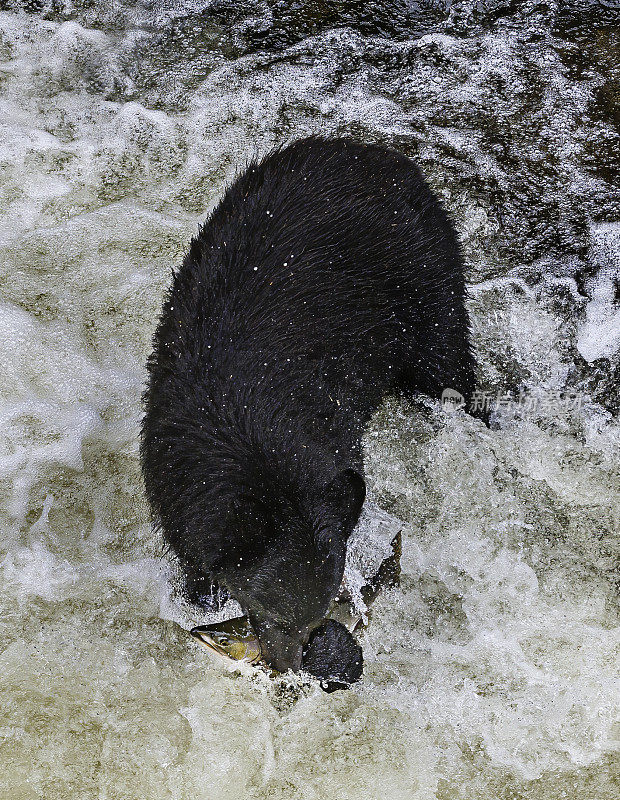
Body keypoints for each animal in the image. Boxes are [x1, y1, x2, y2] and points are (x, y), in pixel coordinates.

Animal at [142, 136, 474, 680]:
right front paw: (200, 595)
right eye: (274, 612)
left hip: (425, 281)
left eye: (314, 615)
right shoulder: (173, 459)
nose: (291, 666)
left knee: (446, 363)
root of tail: (381, 155)